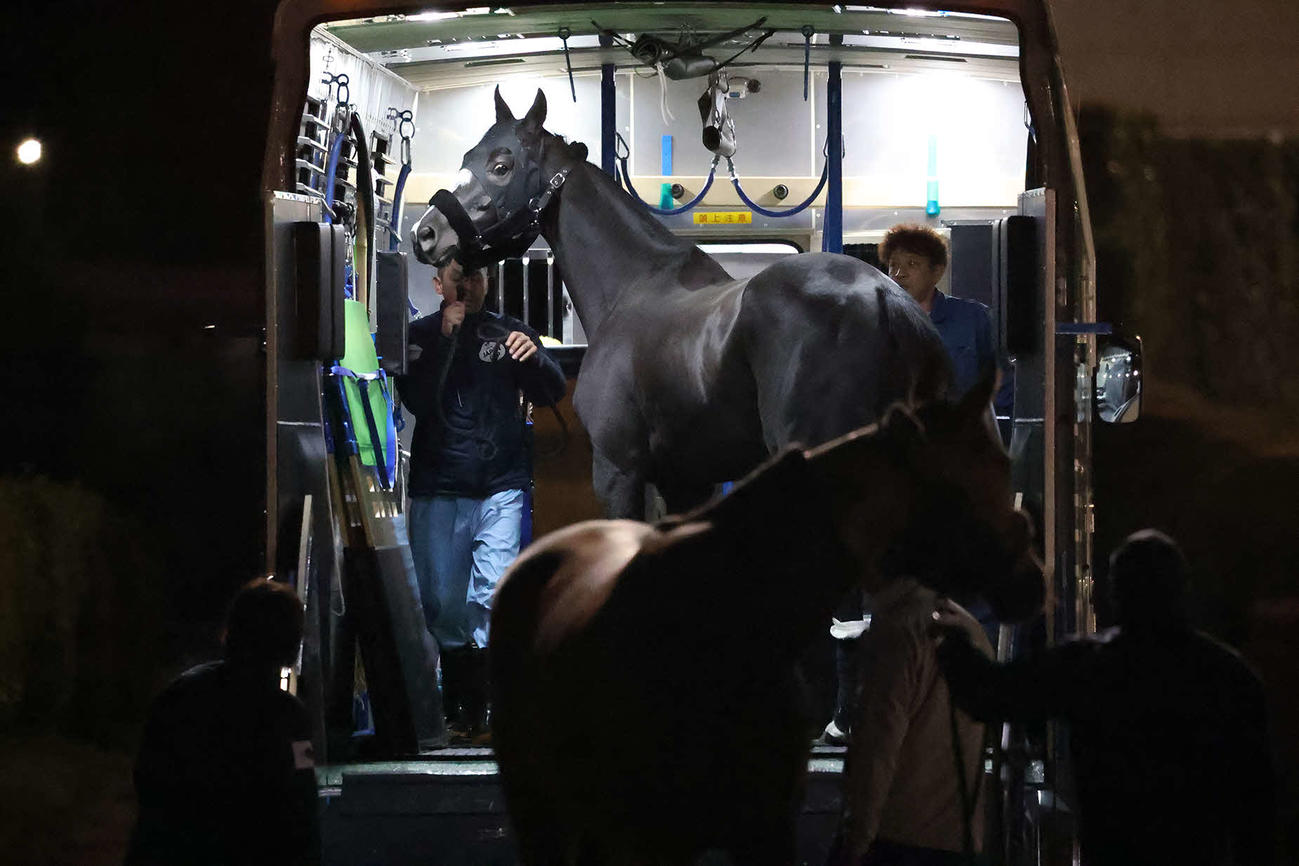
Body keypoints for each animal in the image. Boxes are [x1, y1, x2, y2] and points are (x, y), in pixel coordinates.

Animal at [411, 88, 951, 519]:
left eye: (501, 166)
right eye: (468, 154)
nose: (425, 233)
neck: (631, 286)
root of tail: (884, 295)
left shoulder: (618, 473)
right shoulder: (686, 482)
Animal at [488, 375, 1043, 865]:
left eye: (1002, 464)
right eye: (961, 483)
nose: (1034, 579)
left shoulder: (766, 830)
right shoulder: (646, 841)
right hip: (539, 811)